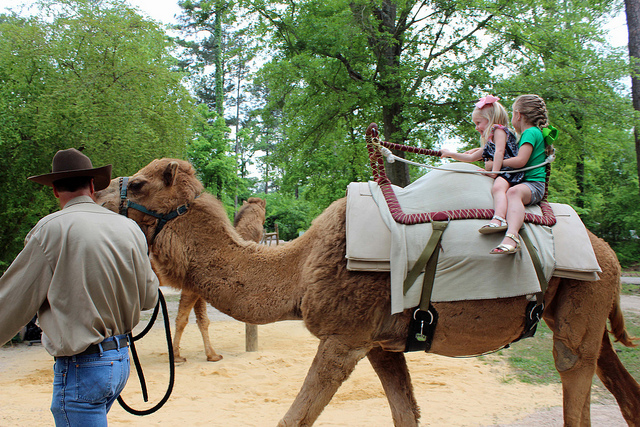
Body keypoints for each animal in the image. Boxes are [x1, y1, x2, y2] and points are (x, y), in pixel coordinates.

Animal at [170, 196, 264, 362]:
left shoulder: (198, 289)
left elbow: (202, 320)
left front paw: (211, 355)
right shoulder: (191, 288)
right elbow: (182, 319)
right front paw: (176, 356)